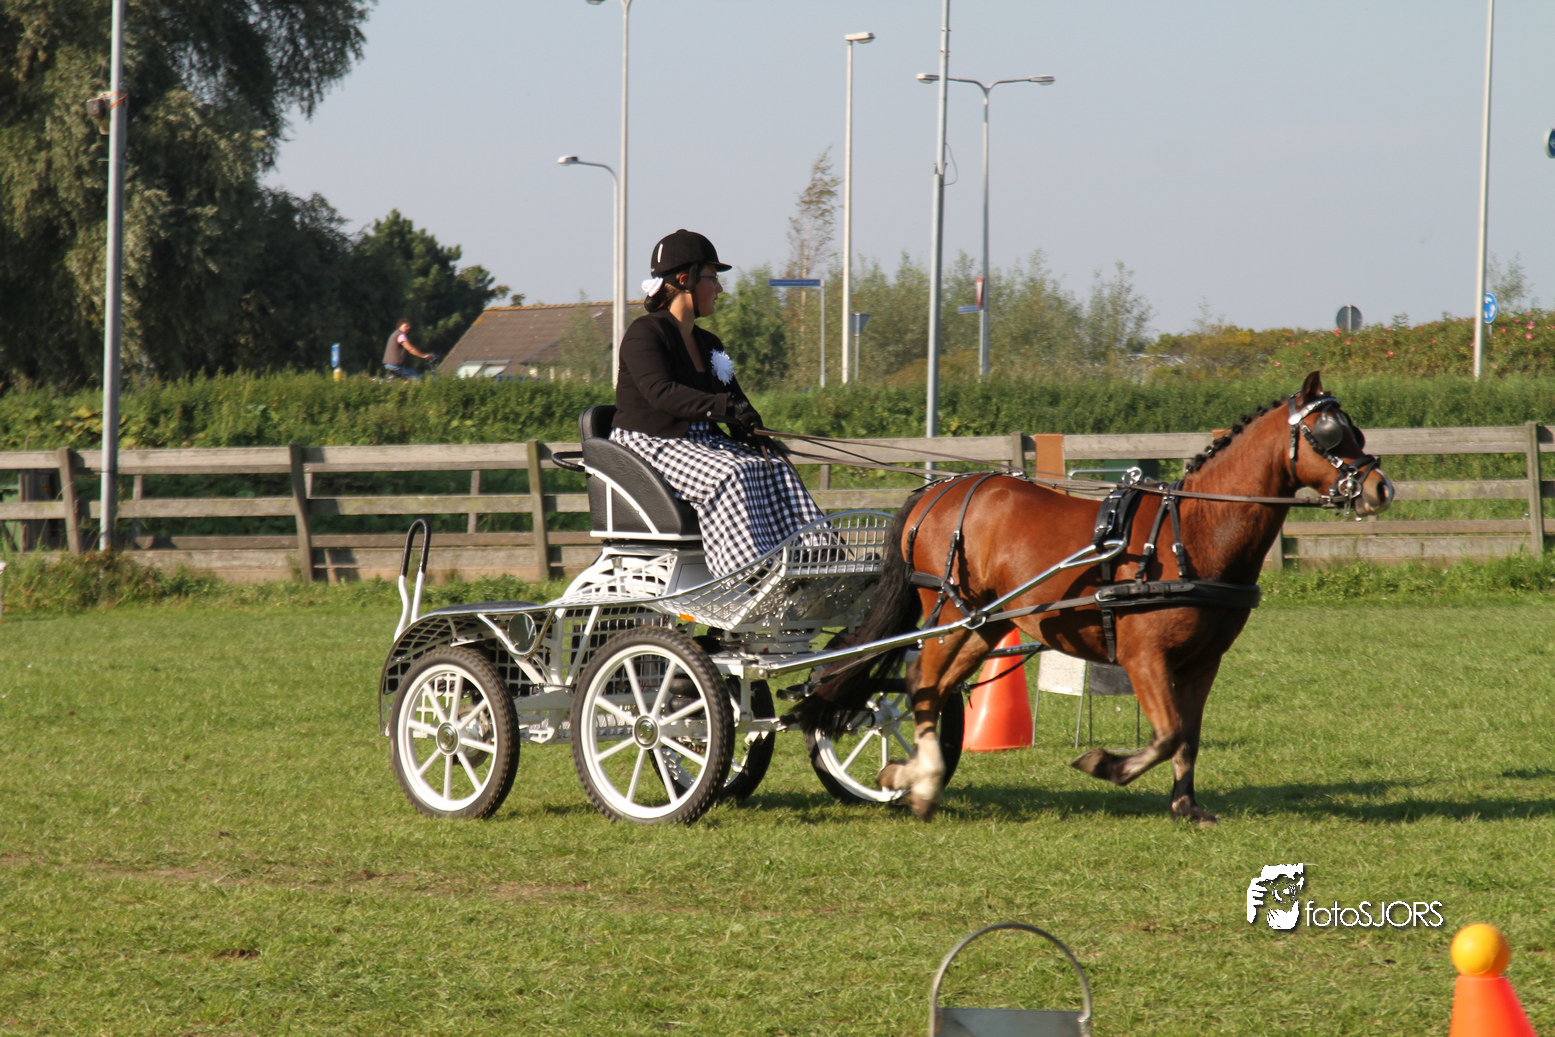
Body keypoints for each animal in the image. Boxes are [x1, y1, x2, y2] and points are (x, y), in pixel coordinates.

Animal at [792, 371, 1393, 823]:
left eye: (1355, 430)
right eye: (1329, 432)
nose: (1381, 488)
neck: (1192, 532)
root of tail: (937, 490)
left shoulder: (1204, 662)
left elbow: (1189, 736)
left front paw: (1186, 807)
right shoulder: (1144, 657)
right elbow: (1168, 734)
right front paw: (1106, 765)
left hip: (982, 623)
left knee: (930, 686)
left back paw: (917, 778)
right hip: (950, 612)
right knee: (921, 683)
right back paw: (919, 779)